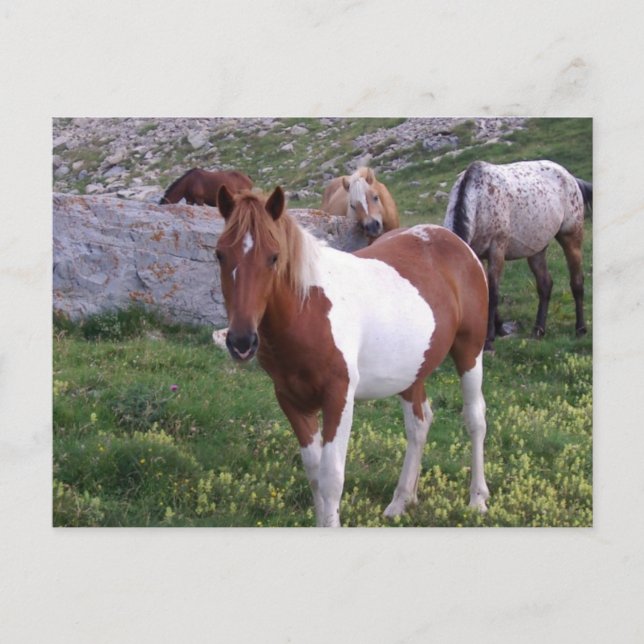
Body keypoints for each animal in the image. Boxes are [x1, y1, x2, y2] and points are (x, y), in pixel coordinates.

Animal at [215, 184, 490, 527]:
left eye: (274, 256)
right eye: (220, 254)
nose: (241, 341)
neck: (308, 309)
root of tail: (453, 240)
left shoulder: (339, 396)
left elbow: (331, 477)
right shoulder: (290, 399)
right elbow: (314, 473)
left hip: (470, 351)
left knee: (475, 419)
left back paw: (477, 499)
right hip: (411, 371)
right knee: (419, 425)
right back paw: (402, 500)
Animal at [444, 159, 591, 351]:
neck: (478, 200)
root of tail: (570, 177)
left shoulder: (497, 250)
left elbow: (493, 292)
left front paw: (489, 340)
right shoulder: (476, 254)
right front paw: (499, 328)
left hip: (571, 237)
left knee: (577, 281)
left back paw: (580, 329)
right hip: (537, 249)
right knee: (545, 284)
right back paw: (538, 330)